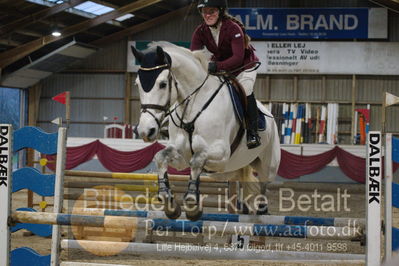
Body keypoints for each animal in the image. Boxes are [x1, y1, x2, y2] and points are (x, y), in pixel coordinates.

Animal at [132, 41, 282, 220]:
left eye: (162, 84)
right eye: (137, 84)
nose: (145, 131)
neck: (194, 106)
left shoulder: (221, 153)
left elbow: (197, 160)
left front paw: (191, 202)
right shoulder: (182, 157)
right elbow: (161, 157)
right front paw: (168, 200)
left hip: (268, 163)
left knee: (264, 181)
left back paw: (262, 209)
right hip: (225, 171)